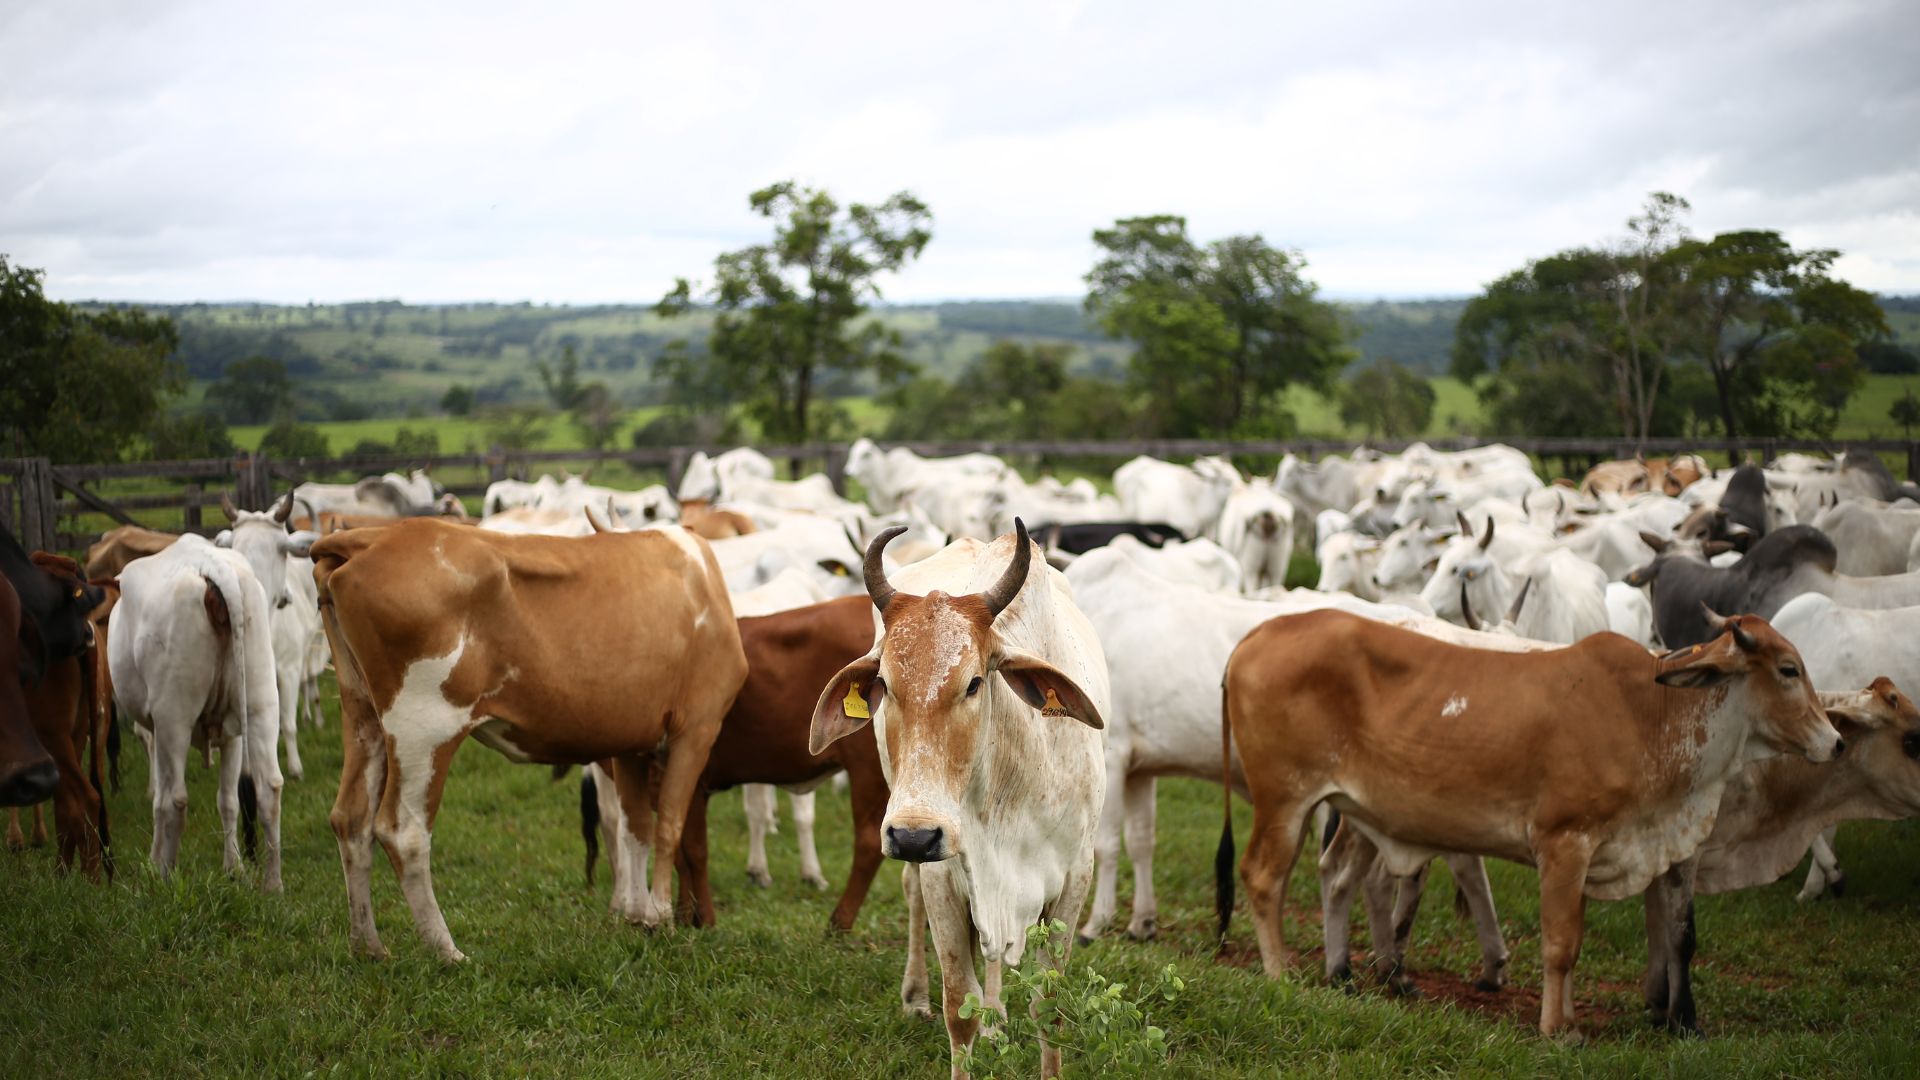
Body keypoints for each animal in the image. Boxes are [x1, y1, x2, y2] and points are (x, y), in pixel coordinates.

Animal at [109, 530, 288, 891]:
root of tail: (213, 567)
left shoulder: (157, 730)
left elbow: (159, 799)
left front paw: (154, 862)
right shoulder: (233, 736)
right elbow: (228, 800)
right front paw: (234, 867)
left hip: (174, 718)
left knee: (176, 798)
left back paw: (166, 876)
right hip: (260, 703)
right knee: (269, 789)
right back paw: (272, 885)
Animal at [311, 515, 744, 957]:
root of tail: (374, 536)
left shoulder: (631, 743)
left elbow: (635, 828)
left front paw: (640, 917)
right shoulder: (698, 727)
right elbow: (669, 826)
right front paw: (661, 918)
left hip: (362, 713)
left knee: (351, 819)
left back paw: (369, 947)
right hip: (423, 726)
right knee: (404, 832)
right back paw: (447, 951)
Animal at [810, 518, 1113, 1068]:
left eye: (974, 682)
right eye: (884, 683)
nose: (914, 835)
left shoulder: (1076, 875)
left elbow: (1050, 1008)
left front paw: (1000, 1019)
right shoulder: (943, 874)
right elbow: (959, 1008)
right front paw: (954, 1014)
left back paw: (996, 1016)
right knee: (913, 896)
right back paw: (916, 996)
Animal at [1221, 599, 1835, 1030]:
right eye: (1787, 669)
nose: (1834, 740)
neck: (1652, 714)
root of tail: (1256, 636)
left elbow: (1596, 942)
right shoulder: (1564, 842)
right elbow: (1560, 945)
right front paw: (1556, 1029)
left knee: (1326, 877)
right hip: (1284, 798)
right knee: (1263, 877)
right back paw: (1280, 975)